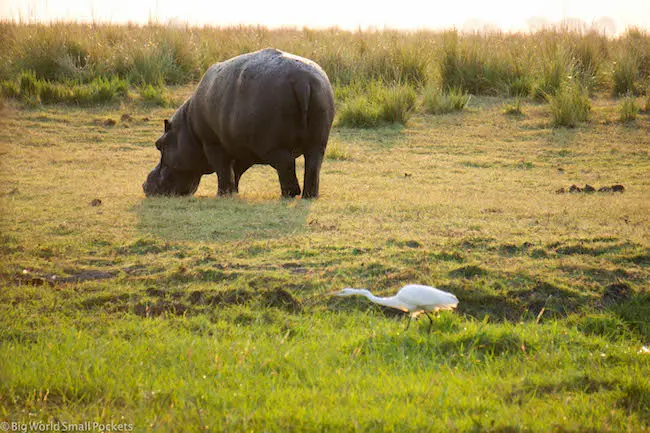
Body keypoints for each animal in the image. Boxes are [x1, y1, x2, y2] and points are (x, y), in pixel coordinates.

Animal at [142, 48, 335, 199]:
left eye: (159, 145)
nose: (144, 185)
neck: (188, 128)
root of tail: (303, 82)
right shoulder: (242, 148)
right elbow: (236, 170)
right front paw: (233, 192)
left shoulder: (212, 144)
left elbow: (222, 169)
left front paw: (222, 194)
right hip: (317, 141)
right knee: (313, 166)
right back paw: (309, 195)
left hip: (271, 144)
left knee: (286, 163)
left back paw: (289, 194)